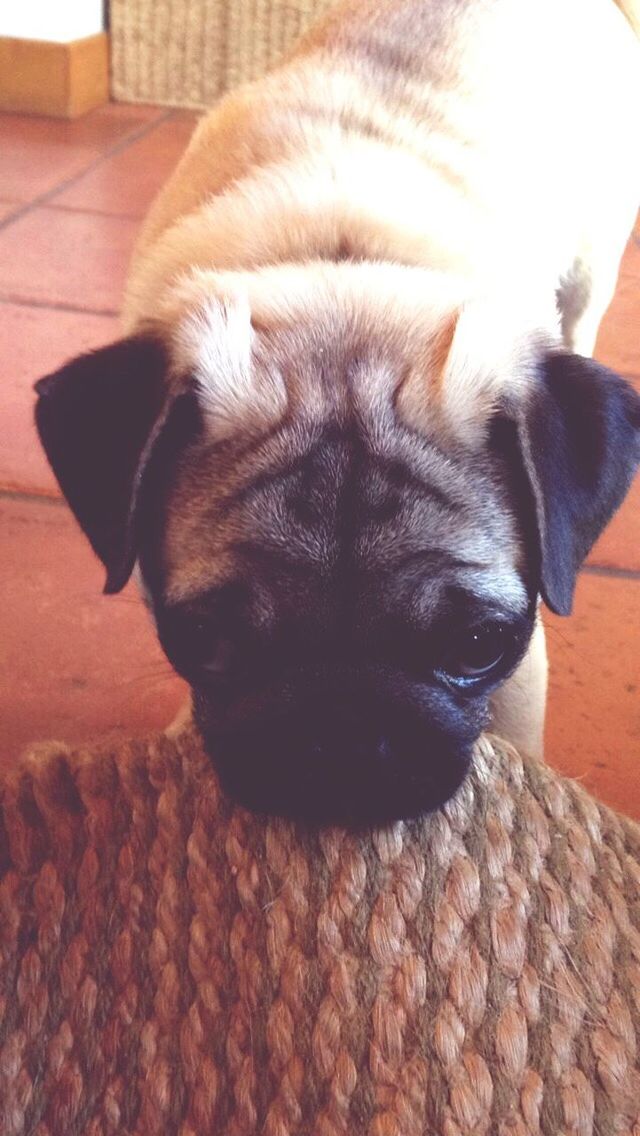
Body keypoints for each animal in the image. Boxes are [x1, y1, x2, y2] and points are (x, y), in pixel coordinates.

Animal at [35, 0, 640, 822]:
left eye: (476, 648)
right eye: (204, 642)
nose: (344, 737)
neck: (342, 258)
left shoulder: (522, 671)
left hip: (589, 270)